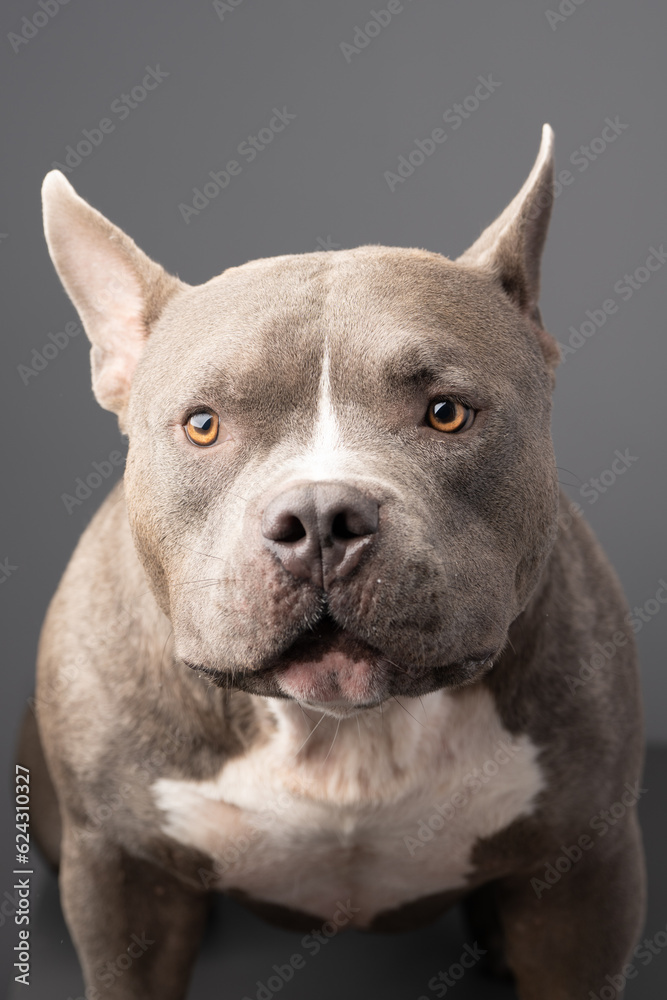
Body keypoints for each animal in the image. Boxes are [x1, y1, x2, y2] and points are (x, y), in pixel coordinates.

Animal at [20, 127, 648, 1000]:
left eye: (446, 413)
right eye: (203, 424)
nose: (319, 519)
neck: (344, 734)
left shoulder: (585, 877)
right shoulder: (121, 875)